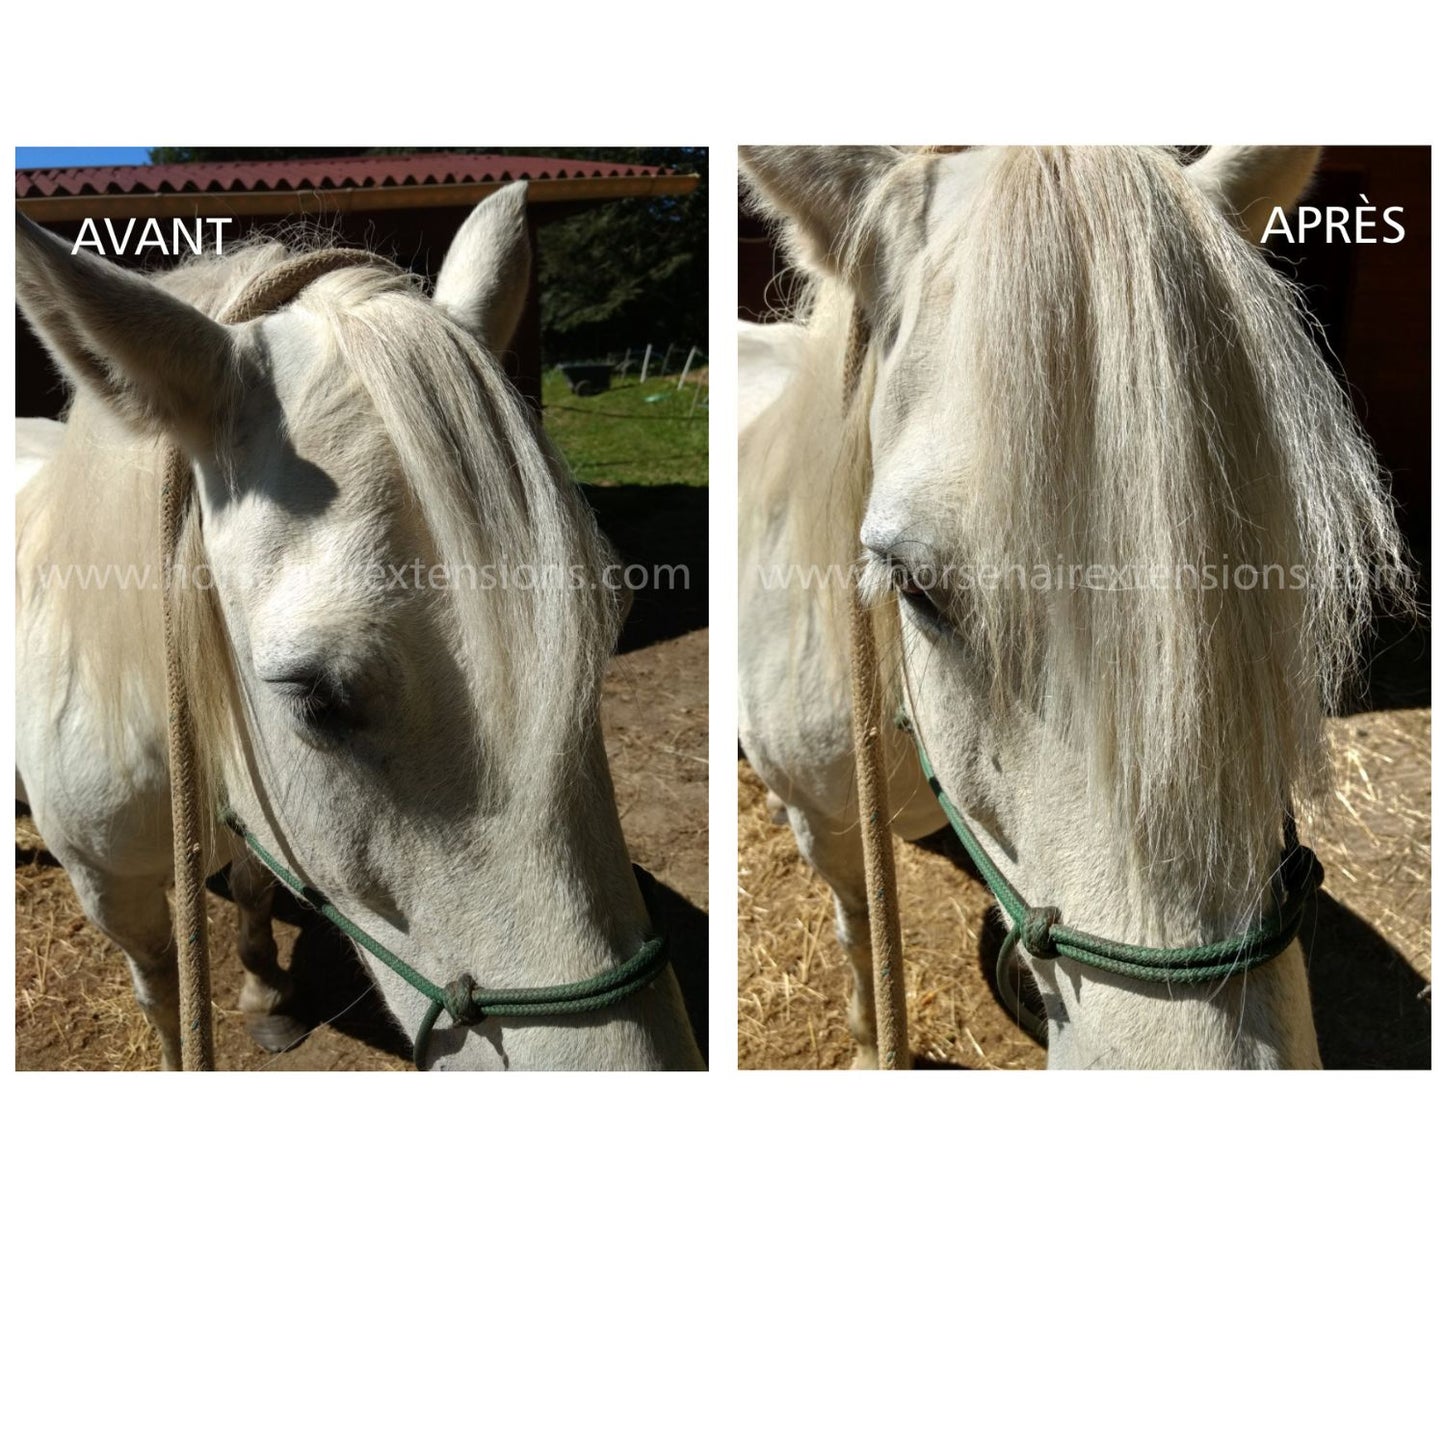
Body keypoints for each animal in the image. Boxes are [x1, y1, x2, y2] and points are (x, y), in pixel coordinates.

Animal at [16, 183, 703, 1070]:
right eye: (313, 696)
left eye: (610, 620)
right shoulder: (109, 889)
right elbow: (161, 992)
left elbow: (254, 884)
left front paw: (265, 991)